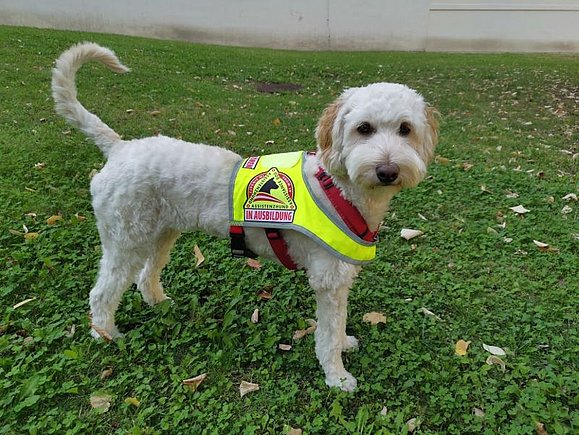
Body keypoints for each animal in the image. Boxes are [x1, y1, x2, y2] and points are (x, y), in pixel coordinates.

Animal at [51, 42, 440, 394]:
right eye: (364, 128)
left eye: (405, 129)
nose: (387, 171)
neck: (339, 188)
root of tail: (120, 148)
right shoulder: (328, 279)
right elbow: (327, 335)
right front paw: (337, 376)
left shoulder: (339, 280)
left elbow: (338, 323)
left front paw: (344, 343)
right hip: (125, 239)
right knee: (103, 292)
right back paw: (107, 334)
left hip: (161, 233)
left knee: (146, 276)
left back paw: (159, 304)